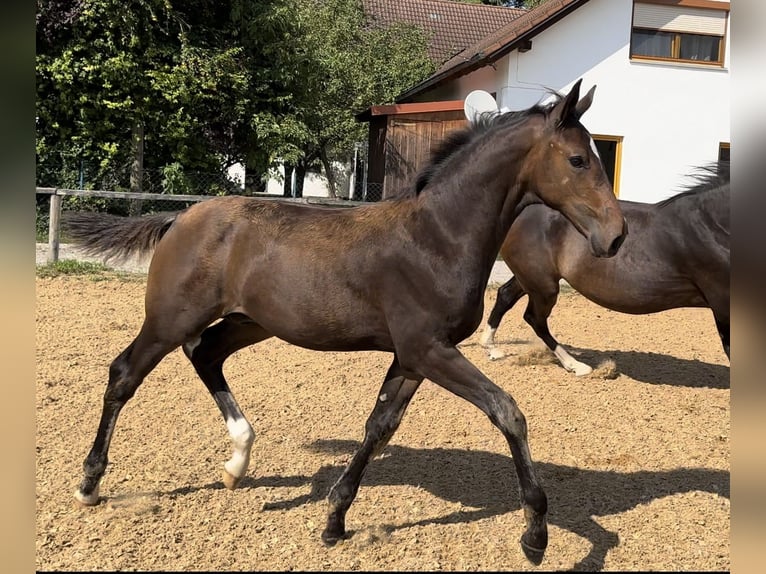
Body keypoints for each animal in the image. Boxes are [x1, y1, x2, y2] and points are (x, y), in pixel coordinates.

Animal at [63, 81, 628, 568]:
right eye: (578, 159)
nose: (617, 235)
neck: (438, 236)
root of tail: (179, 218)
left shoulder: (412, 357)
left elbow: (379, 426)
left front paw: (334, 520)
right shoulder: (429, 349)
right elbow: (507, 411)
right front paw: (536, 534)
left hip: (250, 322)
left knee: (205, 354)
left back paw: (237, 461)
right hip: (169, 319)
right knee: (125, 374)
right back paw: (90, 484)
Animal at [480, 163, 732, 378]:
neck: (711, 224)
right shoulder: (722, 305)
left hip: (532, 278)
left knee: (505, 296)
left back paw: (491, 348)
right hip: (543, 285)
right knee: (534, 318)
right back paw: (576, 366)